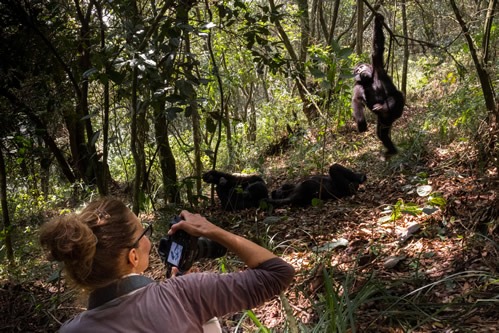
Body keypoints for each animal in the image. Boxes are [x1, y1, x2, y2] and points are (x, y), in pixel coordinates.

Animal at [352, 13, 406, 157]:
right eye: (357, 71)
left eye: (361, 67)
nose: (360, 71)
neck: (369, 79)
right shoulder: (357, 85)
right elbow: (357, 99)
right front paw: (361, 123)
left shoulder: (377, 64)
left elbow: (377, 48)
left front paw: (378, 19)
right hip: (384, 122)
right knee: (382, 133)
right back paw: (391, 150)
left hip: (397, 111)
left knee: (397, 96)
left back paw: (383, 108)